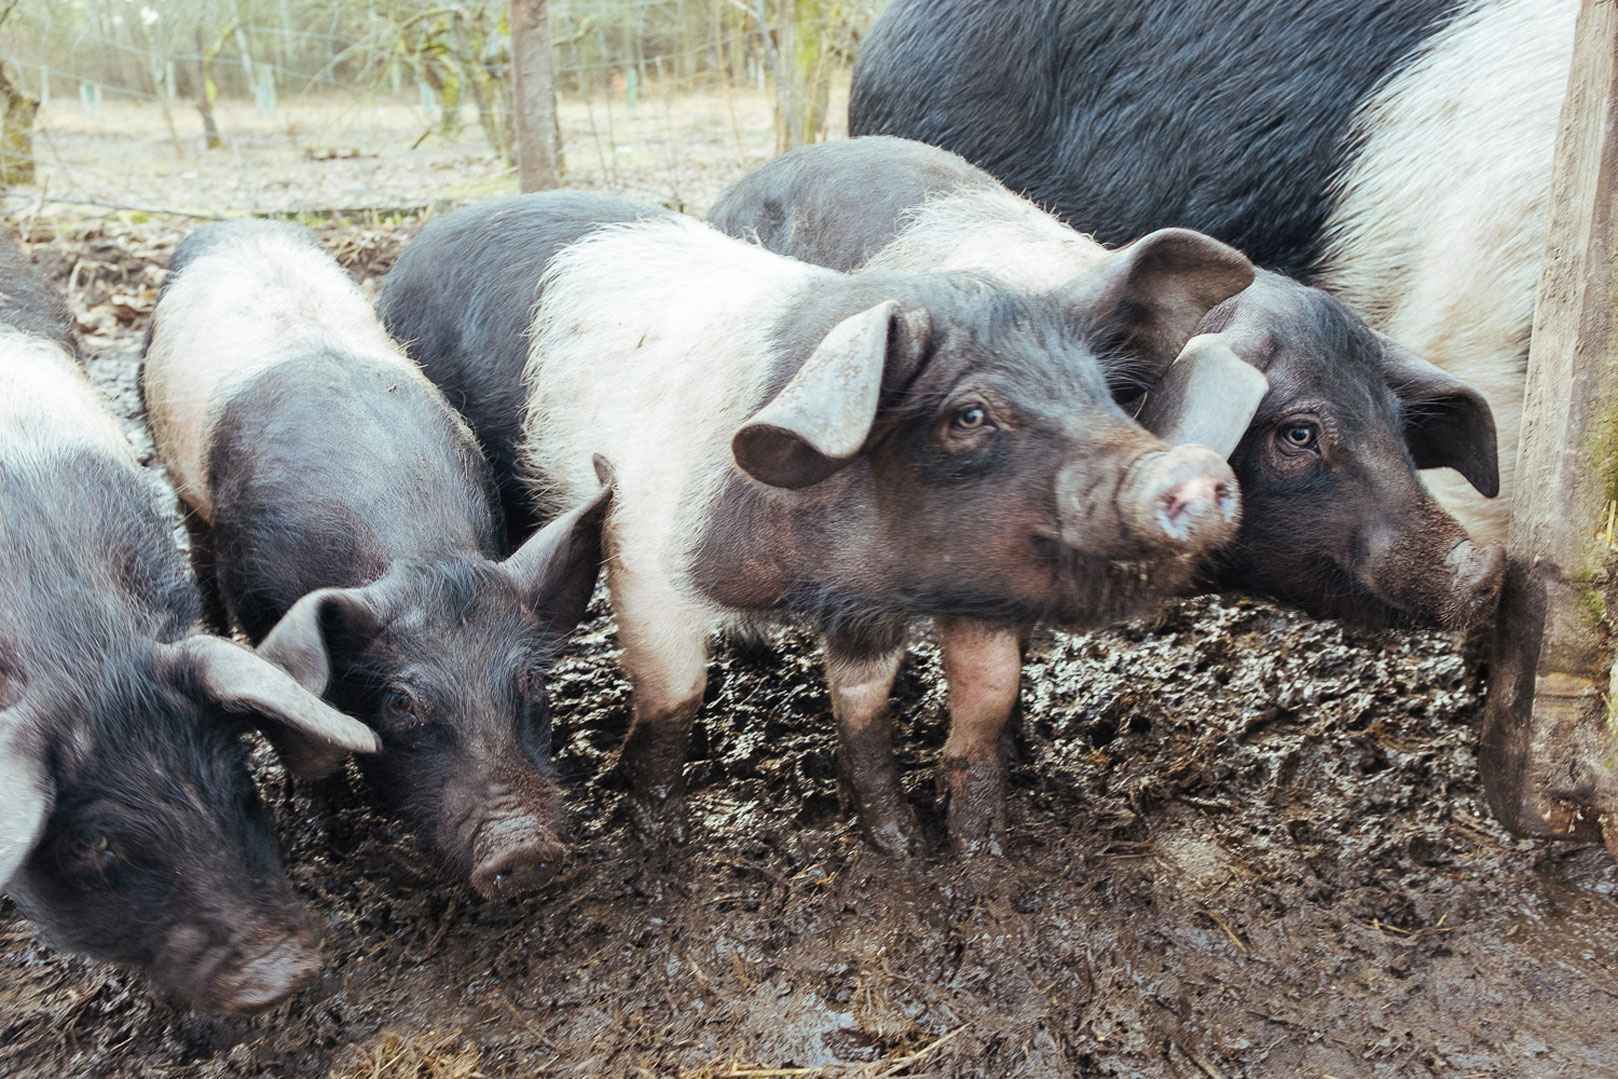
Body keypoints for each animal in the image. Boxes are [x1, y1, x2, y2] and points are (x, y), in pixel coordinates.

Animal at [140, 215, 611, 899]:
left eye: (531, 682)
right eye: (400, 703)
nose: (523, 849)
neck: (418, 554)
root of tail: (232, 226)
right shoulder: (255, 592)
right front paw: (331, 835)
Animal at [398, 190, 1255, 854]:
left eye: (1103, 393)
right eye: (969, 415)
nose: (1196, 470)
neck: (822, 579)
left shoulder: (919, 593)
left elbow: (938, 704)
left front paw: (948, 848)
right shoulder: (644, 550)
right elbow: (674, 694)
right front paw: (659, 835)